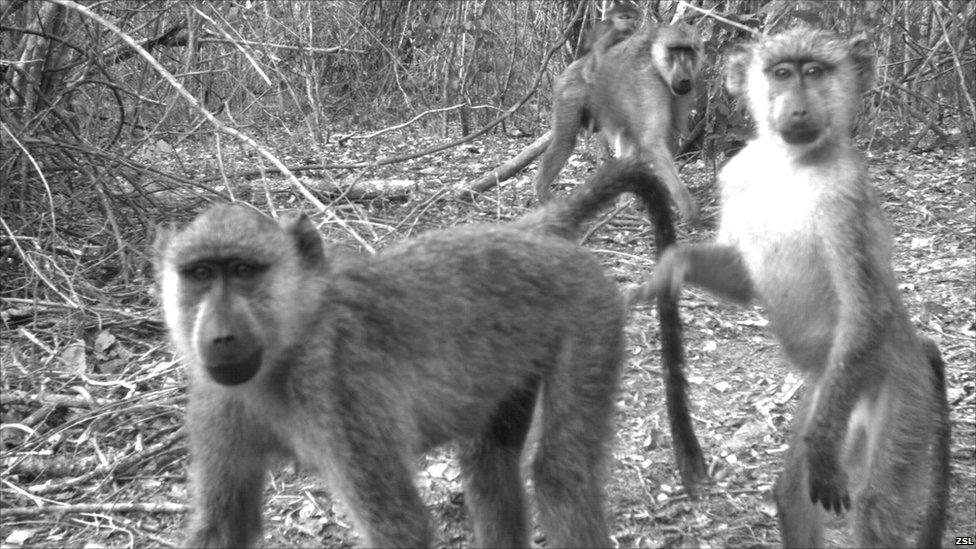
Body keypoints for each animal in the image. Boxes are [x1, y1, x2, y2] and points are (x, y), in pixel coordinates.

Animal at [156, 158, 700, 548]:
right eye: (200, 275)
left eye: (244, 272)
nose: (220, 337)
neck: (288, 347)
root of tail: (530, 233)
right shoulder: (215, 399)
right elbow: (222, 528)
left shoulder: (341, 393)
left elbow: (401, 528)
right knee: (490, 464)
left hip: (590, 314)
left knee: (560, 477)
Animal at [535, 23, 703, 228]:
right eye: (676, 50)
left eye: (689, 51)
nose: (685, 79)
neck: (654, 61)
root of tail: (572, 67)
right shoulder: (649, 83)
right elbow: (652, 141)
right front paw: (688, 208)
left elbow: (667, 137)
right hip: (568, 92)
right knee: (564, 141)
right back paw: (543, 193)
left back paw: (625, 203)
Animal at [633, 28, 950, 547]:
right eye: (782, 73)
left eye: (815, 72)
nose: (798, 109)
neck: (789, 163)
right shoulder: (735, 176)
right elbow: (743, 279)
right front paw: (668, 269)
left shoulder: (845, 195)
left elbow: (864, 307)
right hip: (829, 393)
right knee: (794, 496)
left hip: (900, 391)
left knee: (874, 504)